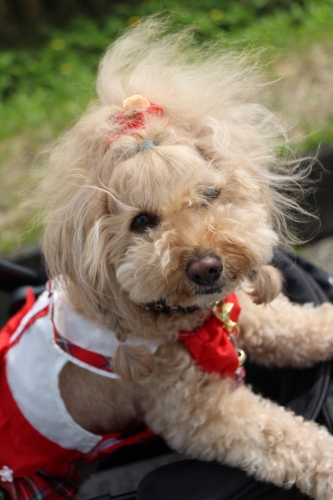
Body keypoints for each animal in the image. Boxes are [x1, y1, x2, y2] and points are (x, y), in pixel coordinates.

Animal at [1, 15, 332, 500]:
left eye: (211, 194)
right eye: (141, 222)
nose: (207, 267)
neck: (179, 321)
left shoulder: (231, 310)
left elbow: (293, 326)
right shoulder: (195, 412)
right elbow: (280, 435)